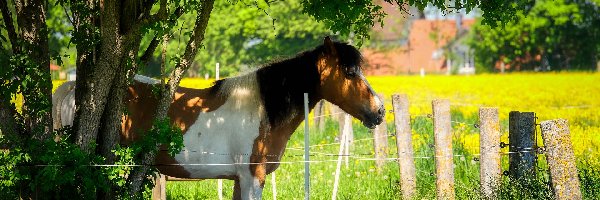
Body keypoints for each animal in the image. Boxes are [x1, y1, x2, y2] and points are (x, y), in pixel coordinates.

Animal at [54, 36, 386, 199]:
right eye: (349, 72)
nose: (379, 111)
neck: (261, 108)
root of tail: (71, 89)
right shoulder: (253, 179)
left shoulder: (240, 180)